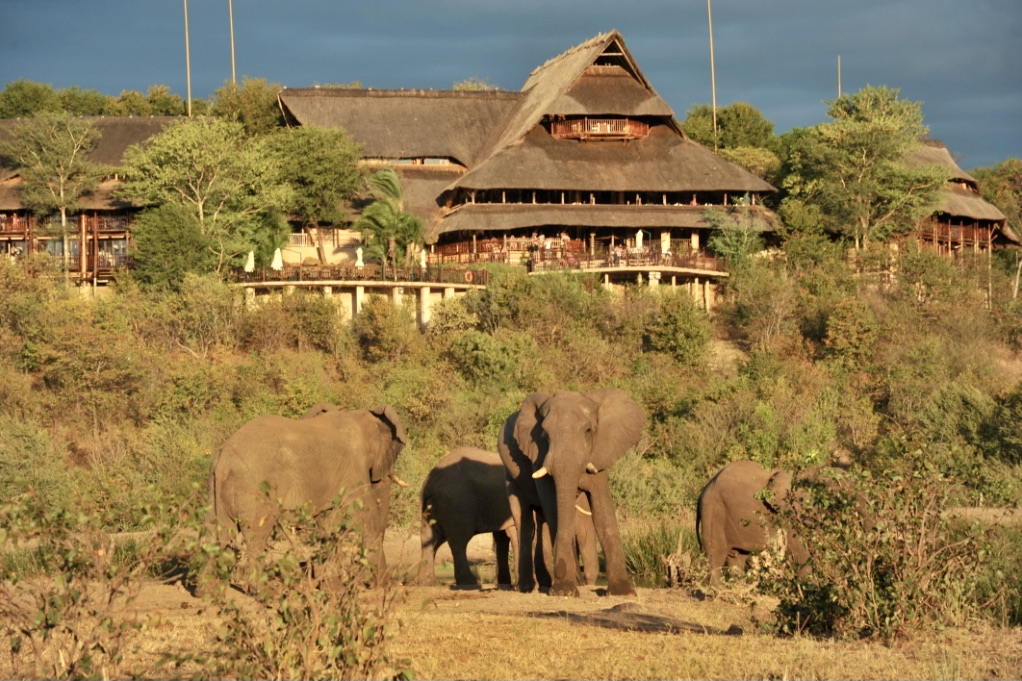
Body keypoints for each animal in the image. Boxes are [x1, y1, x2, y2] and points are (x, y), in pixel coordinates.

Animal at [207, 400, 406, 580]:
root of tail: (225, 459)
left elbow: (327, 523)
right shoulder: (353, 469)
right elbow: (367, 517)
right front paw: (380, 585)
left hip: (216, 487)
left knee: (218, 537)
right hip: (255, 489)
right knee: (256, 540)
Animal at [412, 447, 596, 584]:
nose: (583, 581)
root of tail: (430, 480)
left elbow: (504, 538)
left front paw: (507, 583)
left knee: (430, 538)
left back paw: (425, 582)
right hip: (457, 502)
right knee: (458, 539)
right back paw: (469, 582)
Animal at [496, 386, 645, 593]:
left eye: (589, 430)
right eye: (544, 434)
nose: (578, 578)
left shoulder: (598, 453)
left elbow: (602, 510)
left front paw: (622, 592)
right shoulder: (539, 456)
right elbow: (554, 508)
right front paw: (564, 590)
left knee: (542, 521)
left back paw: (546, 584)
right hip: (510, 475)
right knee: (525, 522)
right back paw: (527, 588)